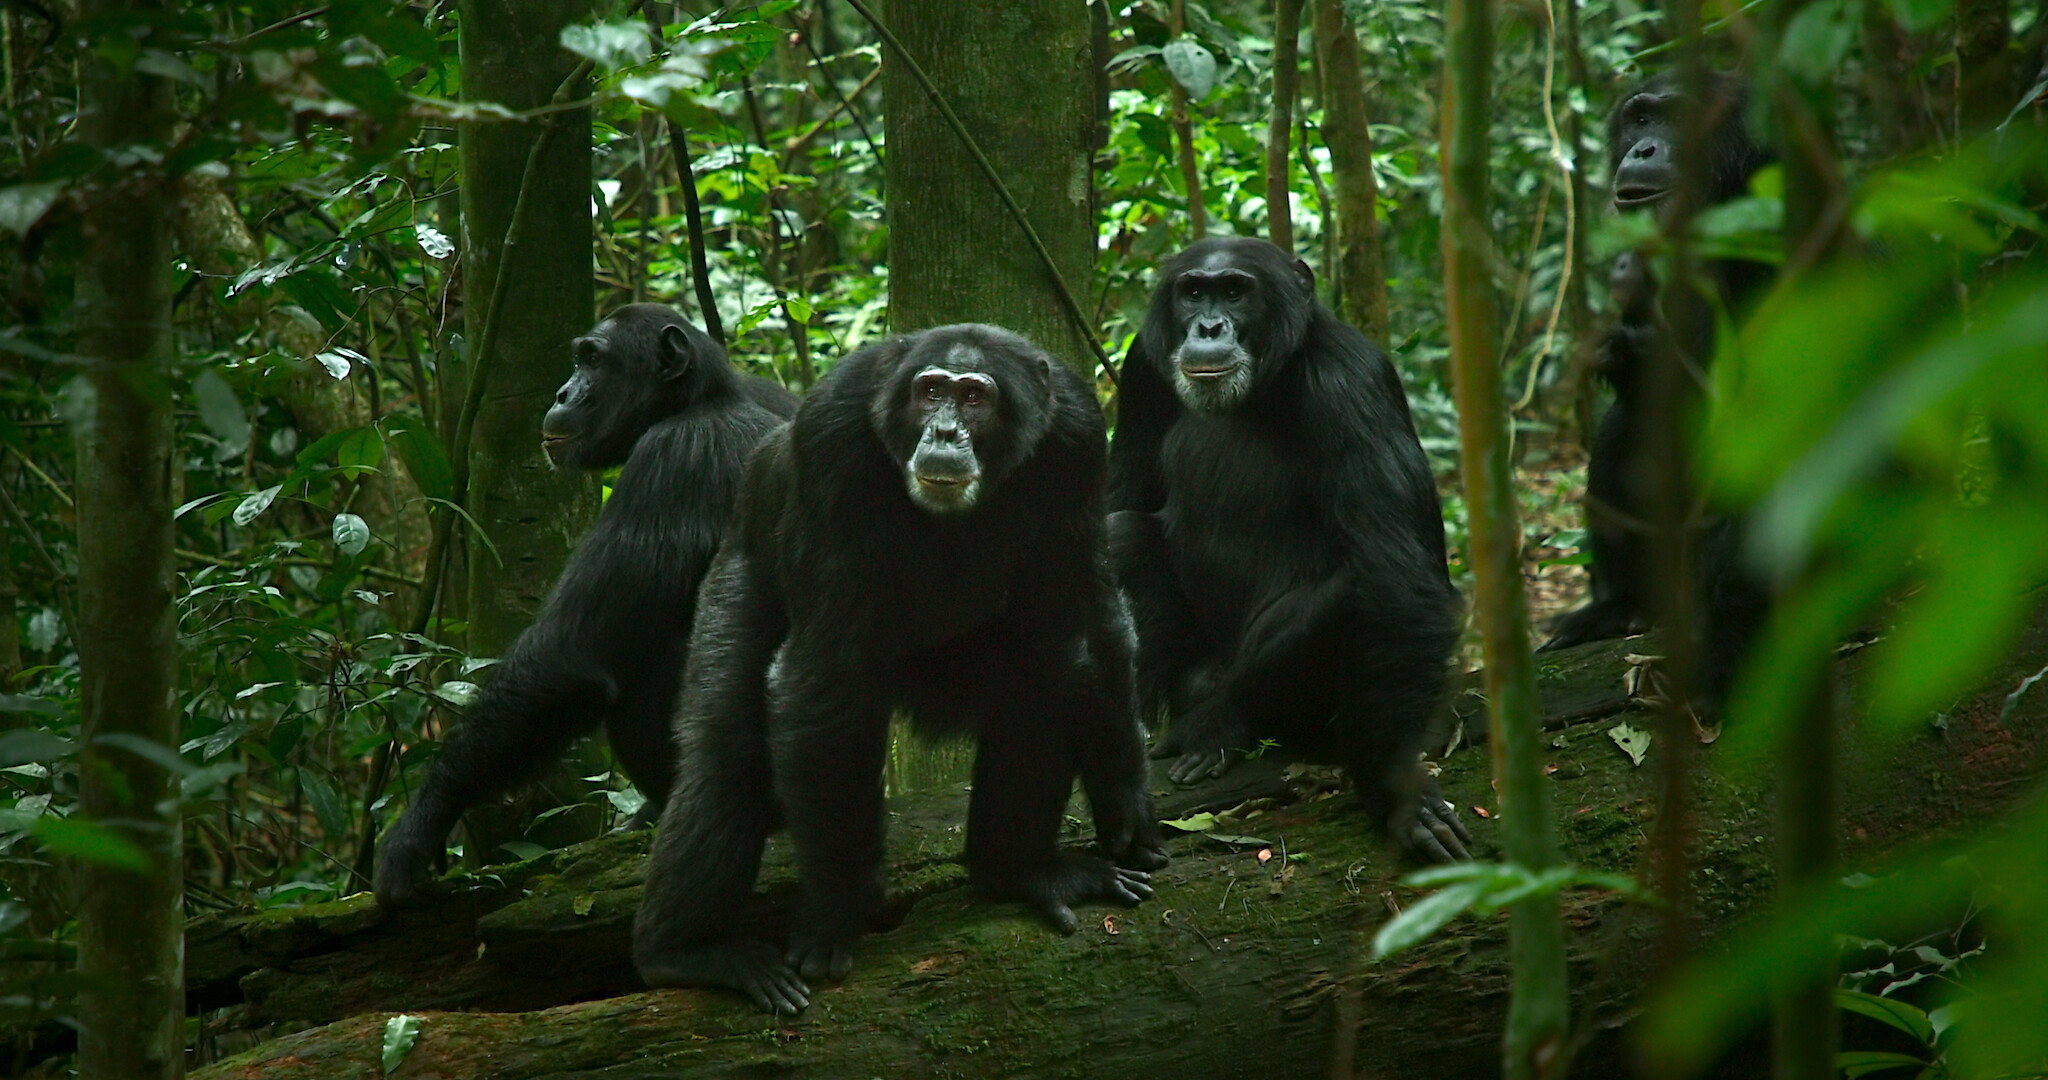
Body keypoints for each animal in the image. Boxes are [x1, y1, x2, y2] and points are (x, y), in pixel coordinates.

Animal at [376, 303, 798, 914]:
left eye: (594, 361)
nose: (562, 391)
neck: (700, 400)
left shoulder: (671, 464)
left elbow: (569, 655)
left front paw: (422, 822)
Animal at [622, 321, 1171, 1016]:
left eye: (974, 398)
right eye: (930, 391)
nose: (944, 431)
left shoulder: (1079, 440)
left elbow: (1089, 614)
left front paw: (1126, 801)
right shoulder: (829, 441)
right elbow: (824, 674)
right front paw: (835, 912)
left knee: (1047, 669)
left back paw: (1019, 870)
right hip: (733, 576)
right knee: (728, 751)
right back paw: (686, 951)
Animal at [1105, 234, 1474, 860]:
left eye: (1235, 290)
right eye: (1193, 292)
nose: (1208, 325)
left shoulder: (1355, 382)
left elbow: (1398, 568)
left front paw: (1398, 786)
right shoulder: (1140, 373)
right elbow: (1123, 495)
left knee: (1356, 584)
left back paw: (1220, 725)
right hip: (1188, 668)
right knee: (1122, 537)